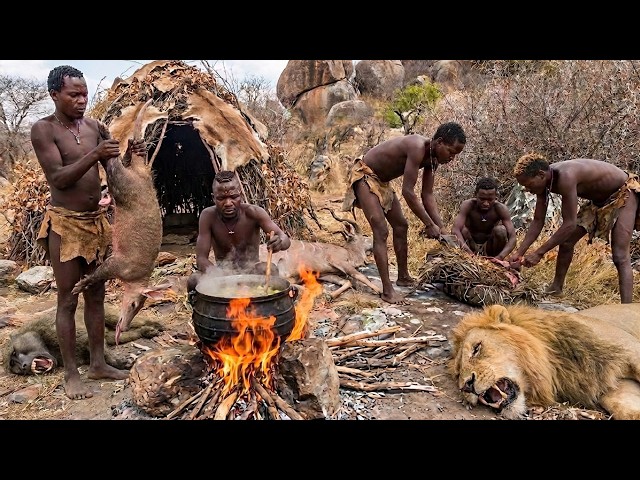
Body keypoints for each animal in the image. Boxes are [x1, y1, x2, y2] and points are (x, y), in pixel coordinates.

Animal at [449, 303, 640, 420]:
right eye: (458, 374)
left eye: (476, 348)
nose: (466, 386)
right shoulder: (607, 386)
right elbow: (623, 407)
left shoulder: (631, 351)